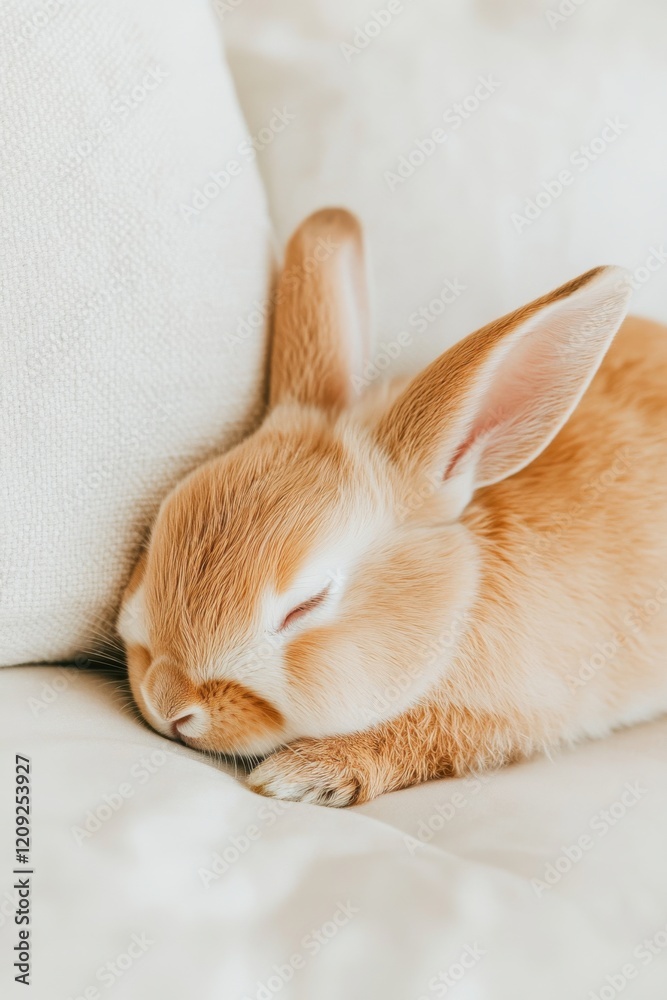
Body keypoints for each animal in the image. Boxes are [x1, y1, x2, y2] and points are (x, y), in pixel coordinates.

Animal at [117, 207, 667, 807]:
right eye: (156, 534)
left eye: (307, 604)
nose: (168, 703)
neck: (458, 602)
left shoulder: (512, 716)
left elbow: (426, 736)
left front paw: (302, 773)